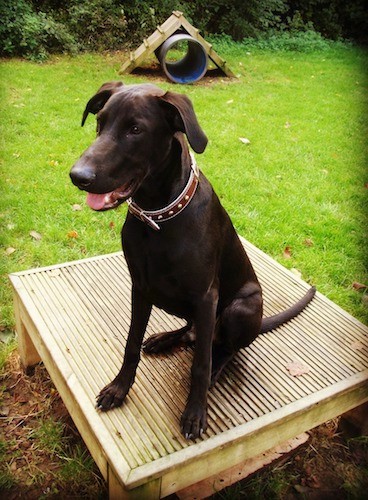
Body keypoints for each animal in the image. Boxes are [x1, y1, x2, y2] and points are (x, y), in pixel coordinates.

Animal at [70, 81, 314, 438]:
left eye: (135, 130)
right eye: (99, 123)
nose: (78, 176)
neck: (158, 216)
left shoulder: (206, 296)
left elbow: (200, 364)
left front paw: (195, 412)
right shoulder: (140, 288)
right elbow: (131, 344)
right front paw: (119, 388)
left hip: (241, 307)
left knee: (223, 348)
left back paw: (214, 367)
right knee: (191, 331)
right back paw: (165, 339)